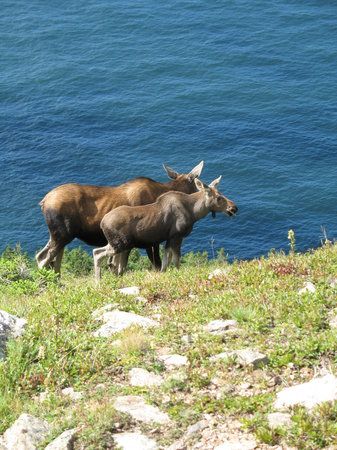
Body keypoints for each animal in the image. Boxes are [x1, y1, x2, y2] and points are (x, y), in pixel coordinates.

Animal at [37, 162, 205, 274]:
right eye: (196, 185)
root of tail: (43, 202)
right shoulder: (149, 239)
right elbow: (154, 264)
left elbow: (117, 266)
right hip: (62, 235)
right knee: (44, 258)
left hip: (59, 235)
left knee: (49, 258)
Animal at [93, 177, 238, 280]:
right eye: (219, 197)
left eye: (221, 193)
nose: (233, 208)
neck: (194, 212)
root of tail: (102, 223)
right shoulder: (177, 235)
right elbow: (176, 260)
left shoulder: (169, 238)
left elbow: (165, 261)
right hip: (121, 244)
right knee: (99, 254)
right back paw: (98, 281)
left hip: (116, 244)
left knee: (101, 254)